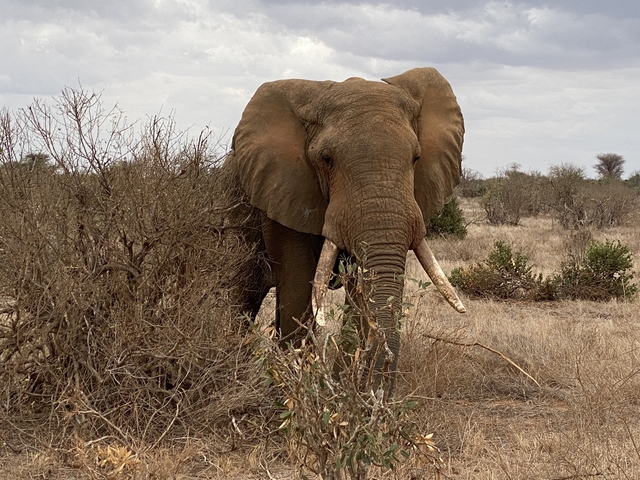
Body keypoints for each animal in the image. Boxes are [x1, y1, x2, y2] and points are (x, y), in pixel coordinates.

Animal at [226, 67, 466, 396]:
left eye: (416, 158)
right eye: (326, 159)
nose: (376, 396)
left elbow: (358, 293)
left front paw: (342, 391)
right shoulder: (281, 193)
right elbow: (299, 289)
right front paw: (299, 395)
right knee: (240, 299)